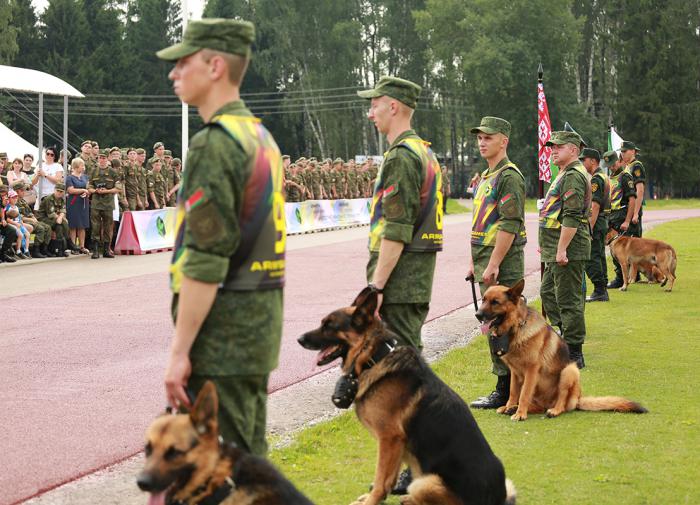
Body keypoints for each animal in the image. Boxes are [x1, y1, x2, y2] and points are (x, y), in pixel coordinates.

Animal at [296, 288, 516, 504]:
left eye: (329, 326)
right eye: (322, 323)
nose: (299, 339)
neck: (374, 358)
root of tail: (498, 498)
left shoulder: (389, 438)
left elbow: (381, 478)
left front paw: (371, 500)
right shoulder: (396, 445)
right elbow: (388, 479)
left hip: (424, 482)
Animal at [476, 280, 644, 422]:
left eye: (495, 302)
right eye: (483, 300)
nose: (477, 315)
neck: (516, 328)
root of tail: (578, 399)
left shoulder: (531, 370)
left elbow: (523, 394)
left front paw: (520, 414)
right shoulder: (515, 372)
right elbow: (513, 392)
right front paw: (509, 406)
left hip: (569, 371)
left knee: (562, 402)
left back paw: (553, 410)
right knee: (538, 407)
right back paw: (514, 408)